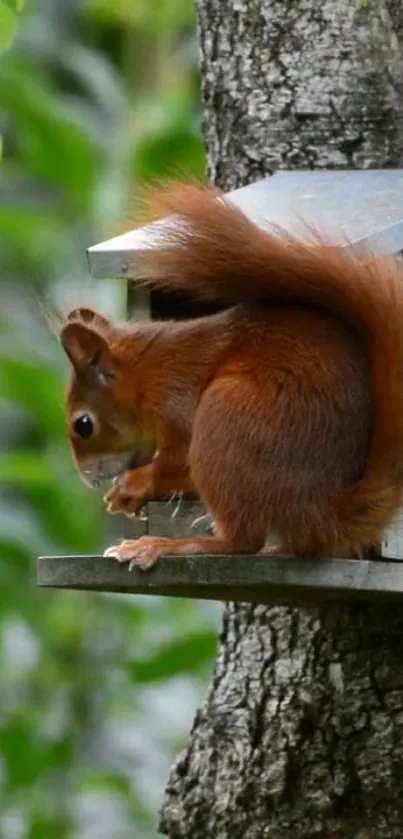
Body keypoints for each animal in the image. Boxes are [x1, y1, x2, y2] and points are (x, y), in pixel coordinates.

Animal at [60, 180, 403, 568]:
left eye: (83, 425)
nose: (88, 479)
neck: (145, 373)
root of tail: (321, 509)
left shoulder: (175, 396)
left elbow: (178, 460)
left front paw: (133, 485)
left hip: (227, 418)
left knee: (241, 541)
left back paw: (167, 544)